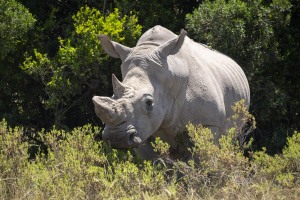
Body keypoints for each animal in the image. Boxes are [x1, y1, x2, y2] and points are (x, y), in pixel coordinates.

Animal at [92, 25, 250, 159]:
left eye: (149, 102)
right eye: (113, 96)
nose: (116, 137)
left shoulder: (208, 124)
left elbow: (202, 160)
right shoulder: (142, 130)